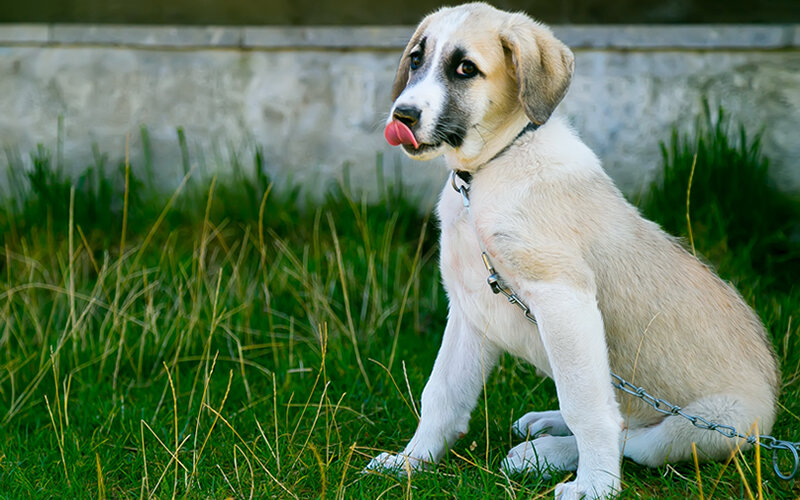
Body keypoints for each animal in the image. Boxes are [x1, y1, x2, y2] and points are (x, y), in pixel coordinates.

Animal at [366, 4, 780, 500]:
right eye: (415, 60)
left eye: (465, 69)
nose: (402, 115)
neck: (491, 169)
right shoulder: (470, 309)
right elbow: (442, 392)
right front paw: (412, 461)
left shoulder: (563, 298)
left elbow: (586, 405)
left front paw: (595, 485)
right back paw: (545, 426)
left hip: (716, 423)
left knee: (635, 437)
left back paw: (544, 455)